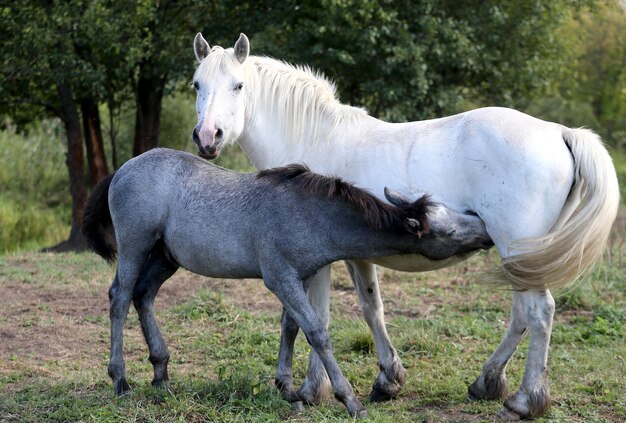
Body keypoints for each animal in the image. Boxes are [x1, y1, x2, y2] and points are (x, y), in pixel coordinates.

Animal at [188, 33, 616, 420]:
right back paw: (487, 382)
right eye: (197, 84)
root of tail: (559, 132)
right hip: (523, 257)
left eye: (238, 85)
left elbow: (318, 316)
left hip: (518, 247)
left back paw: (524, 402)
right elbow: (371, 307)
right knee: (521, 315)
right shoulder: (355, 256)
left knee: (538, 312)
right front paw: (387, 380)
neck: (314, 137)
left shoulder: (317, 260)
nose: (208, 137)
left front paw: (314, 390)